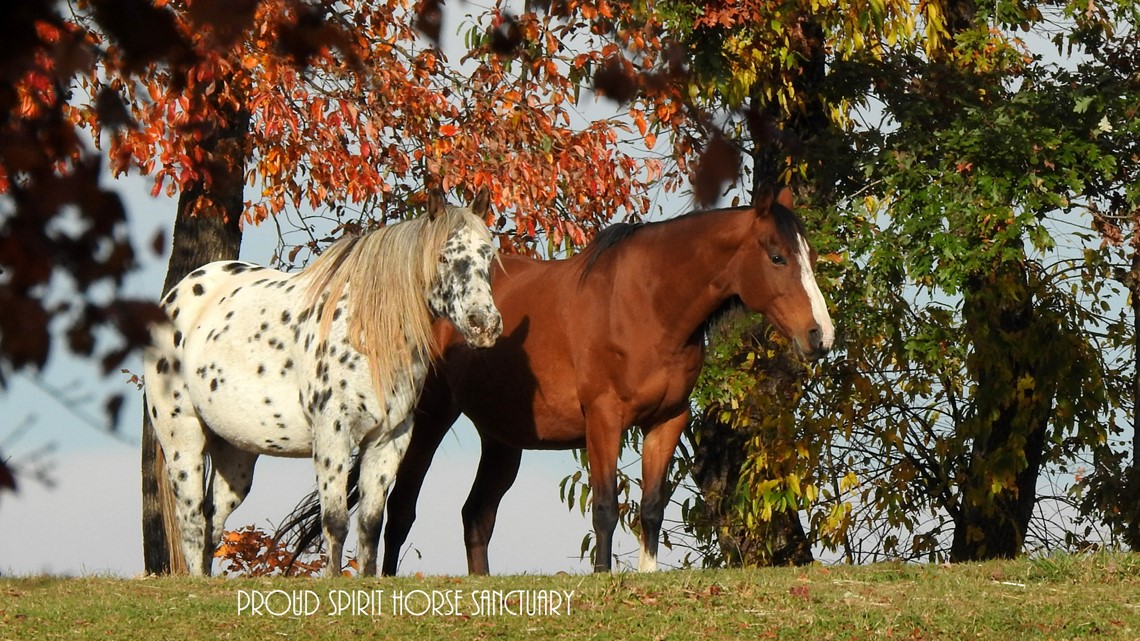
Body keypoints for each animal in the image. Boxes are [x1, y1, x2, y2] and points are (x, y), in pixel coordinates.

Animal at [143, 189, 503, 577]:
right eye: (442, 255)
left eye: (487, 254)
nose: (484, 324)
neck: (366, 332)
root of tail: (178, 297)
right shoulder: (333, 435)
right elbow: (335, 521)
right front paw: (333, 581)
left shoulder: (389, 439)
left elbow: (370, 524)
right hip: (183, 439)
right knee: (193, 522)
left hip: (235, 453)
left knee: (213, 520)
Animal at [282, 186, 834, 574]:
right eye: (777, 256)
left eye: (806, 256)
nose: (820, 335)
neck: (646, 306)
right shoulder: (604, 420)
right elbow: (607, 507)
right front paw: (605, 580)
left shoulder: (667, 422)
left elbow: (651, 509)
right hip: (428, 419)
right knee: (401, 510)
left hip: (502, 440)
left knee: (476, 516)